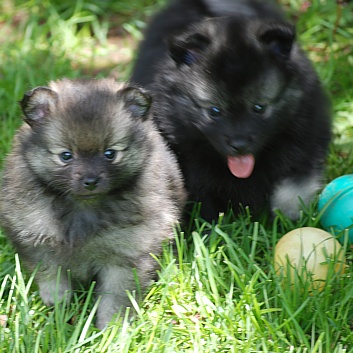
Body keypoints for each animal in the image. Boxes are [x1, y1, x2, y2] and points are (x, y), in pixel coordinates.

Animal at [0, 77, 186, 328]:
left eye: (110, 153)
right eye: (66, 156)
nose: (90, 181)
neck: (82, 208)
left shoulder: (125, 256)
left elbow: (115, 298)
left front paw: (112, 328)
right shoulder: (38, 242)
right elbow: (51, 276)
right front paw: (57, 305)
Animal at [130, 0, 330, 220]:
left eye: (259, 107)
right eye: (214, 111)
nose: (239, 145)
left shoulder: (303, 138)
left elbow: (291, 187)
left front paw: (288, 220)